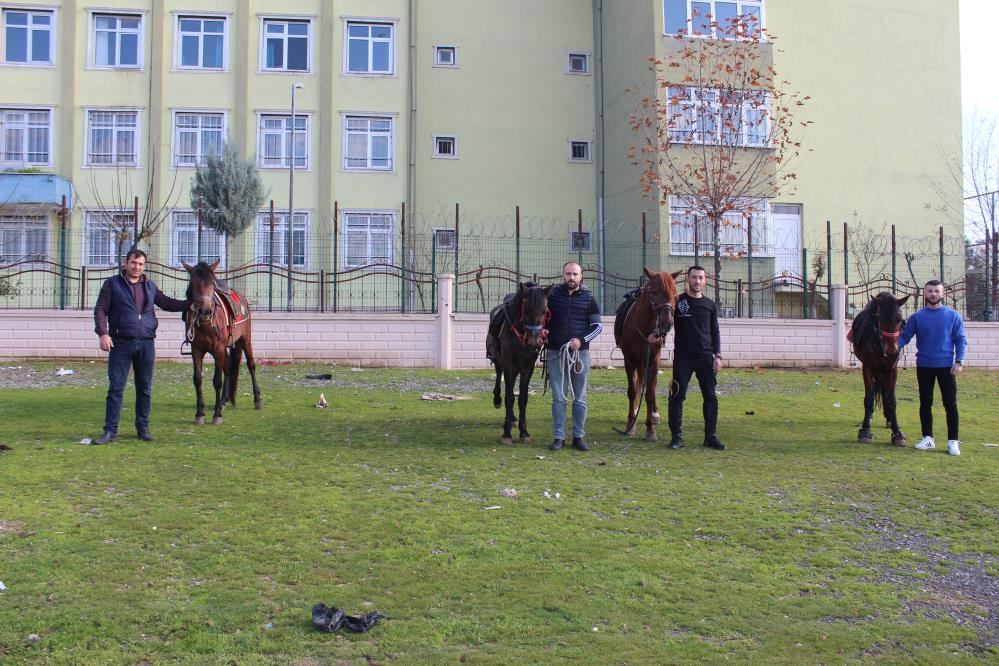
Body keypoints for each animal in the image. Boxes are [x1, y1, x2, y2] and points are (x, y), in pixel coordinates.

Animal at [182, 260, 262, 422]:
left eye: (212, 284)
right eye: (192, 284)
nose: (205, 312)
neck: (206, 324)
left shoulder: (218, 349)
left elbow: (217, 381)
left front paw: (217, 414)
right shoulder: (196, 350)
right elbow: (198, 378)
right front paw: (200, 413)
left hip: (245, 340)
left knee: (251, 365)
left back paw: (256, 399)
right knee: (229, 367)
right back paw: (224, 400)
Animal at [488, 282, 552, 444]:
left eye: (545, 311)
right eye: (526, 310)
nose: (534, 341)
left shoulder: (527, 367)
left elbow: (522, 398)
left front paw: (524, 433)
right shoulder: (509, 366)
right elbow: (510, 397)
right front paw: (506, 434)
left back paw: (511, 419)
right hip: (500, 362)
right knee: (499, 377)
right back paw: (497, 400)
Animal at [608, 264, 680, 440]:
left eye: (674, 293)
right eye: (653, 292)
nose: (667, 323)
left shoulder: (653, 360)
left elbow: (650, 393)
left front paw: (650, 430)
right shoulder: (629, 361)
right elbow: (633, 391)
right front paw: (630, 424)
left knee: (650, 386)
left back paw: (654, 415)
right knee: (639, 384)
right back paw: (635, 411)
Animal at [848, 294, 912, 444]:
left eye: (899, 319)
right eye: (880, 319)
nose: (892, 352)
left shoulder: (892, 370)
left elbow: (891, 400)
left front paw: (897, 432)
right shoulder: (867, 368)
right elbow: (869, 398)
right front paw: (865, 430)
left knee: (884, 390)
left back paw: (888, 418)